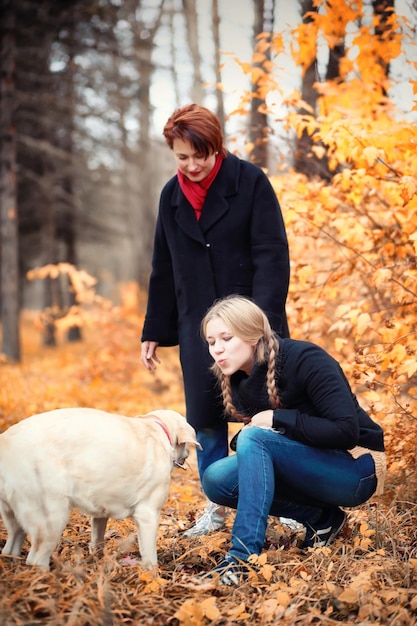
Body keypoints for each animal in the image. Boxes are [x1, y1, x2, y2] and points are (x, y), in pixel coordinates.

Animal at [0, 408, 202, 568]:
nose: (188, 453)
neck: (157, 431)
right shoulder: (148, 515)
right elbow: (149, 557)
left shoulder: (99, 512)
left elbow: (97, 539)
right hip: (51, 519)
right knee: (35, 560)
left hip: (16, 520)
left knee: (9, 549)